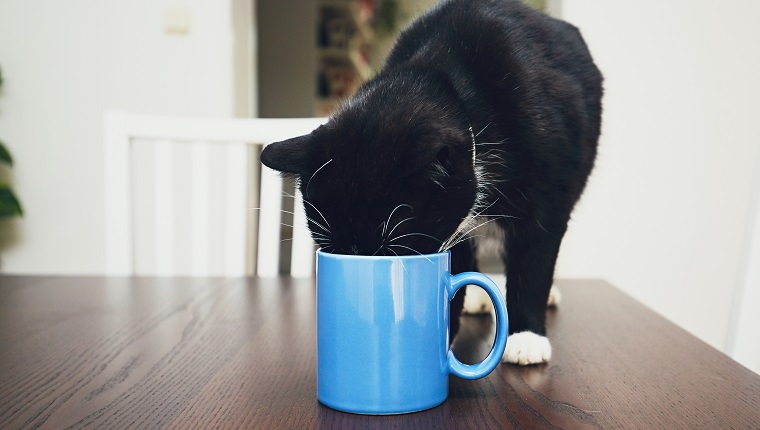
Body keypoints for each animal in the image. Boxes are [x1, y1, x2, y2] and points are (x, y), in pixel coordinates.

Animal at [262, 0, 600, 364]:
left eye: (393, 249)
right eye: (333, 248)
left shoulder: (547, 190)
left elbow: (535, 254)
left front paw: (526, 337)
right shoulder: (452, 225)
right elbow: (455, 264)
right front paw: (443, 335)